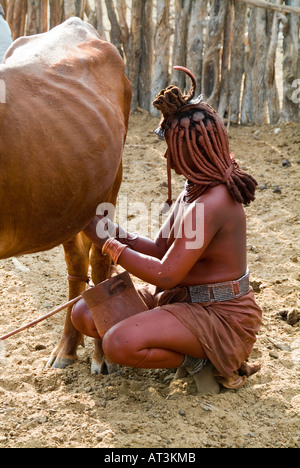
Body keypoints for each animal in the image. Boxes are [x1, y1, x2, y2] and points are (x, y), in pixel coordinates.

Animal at [0, 16, 131, 372]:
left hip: (109, 185)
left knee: (100, 263)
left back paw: (101, 354)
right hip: (71, 199)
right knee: (76, 264)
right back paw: (67, 347)